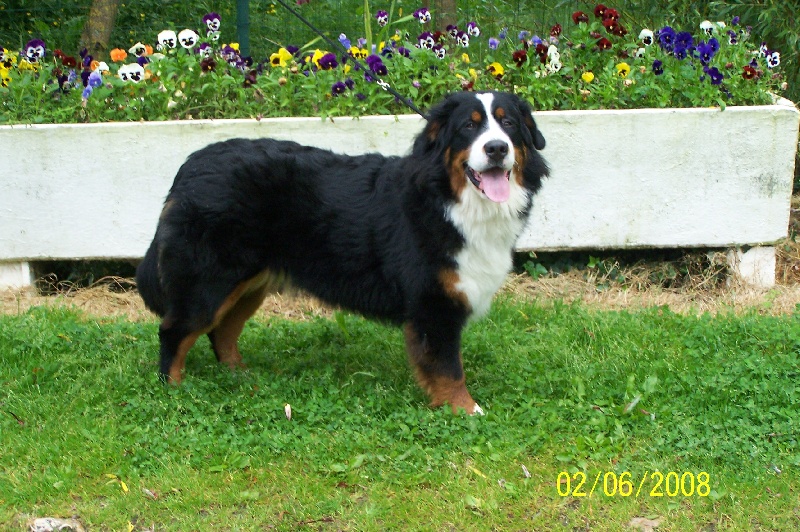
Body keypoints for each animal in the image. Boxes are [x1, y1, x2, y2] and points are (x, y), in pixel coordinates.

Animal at [136, 90, 548, 415]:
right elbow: (449, 368)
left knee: (222, 331)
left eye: (508, 123)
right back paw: (174, 388)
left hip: (248, 282)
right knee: (175, 330)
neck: (451, 201)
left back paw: (240, 375)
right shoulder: (434, 305)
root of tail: (192, 165)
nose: (496, 148)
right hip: (210, 279)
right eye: (468, 127)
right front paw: (465, 409)